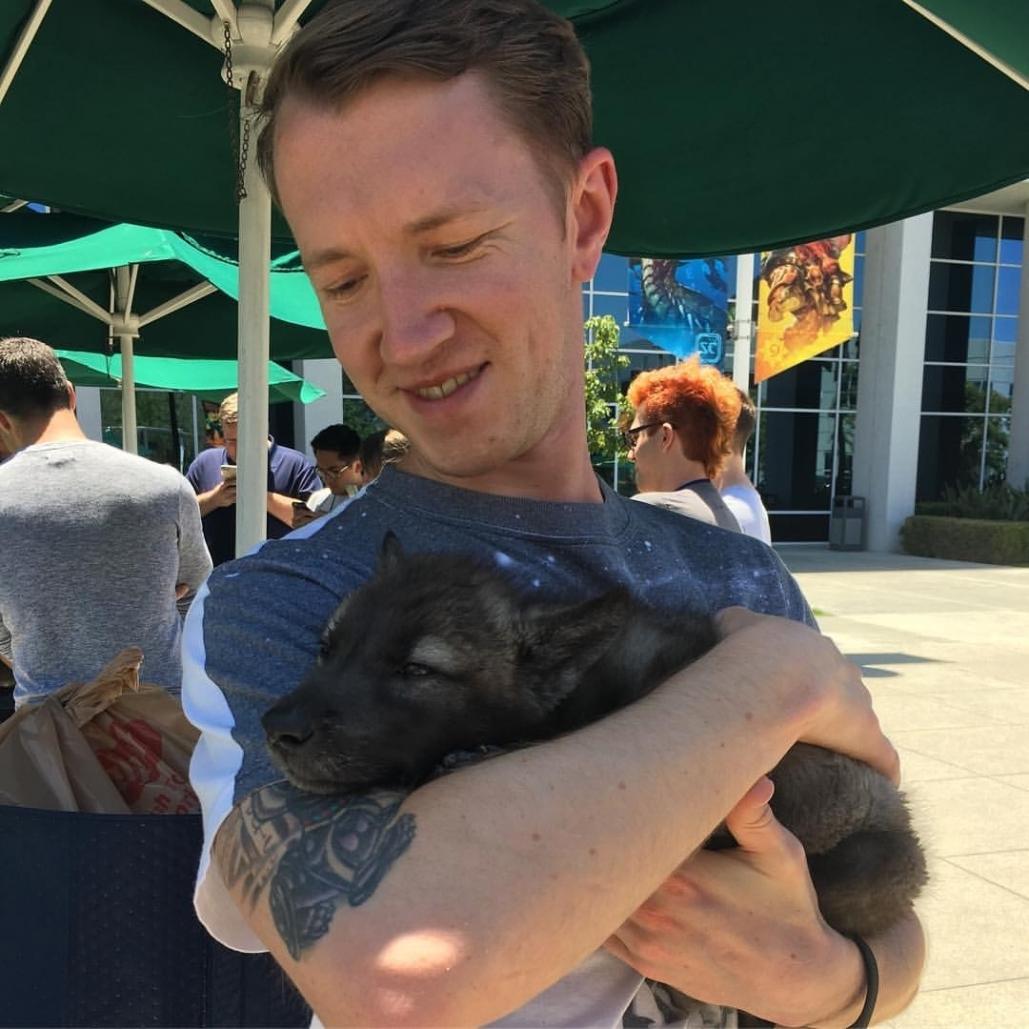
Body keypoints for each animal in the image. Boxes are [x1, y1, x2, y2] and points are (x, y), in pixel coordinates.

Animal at [263, 535, 926, 938]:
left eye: (417, 670)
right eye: (327, 650)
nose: (276, 730)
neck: (580, 685)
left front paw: (474, 754)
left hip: (868, 866)